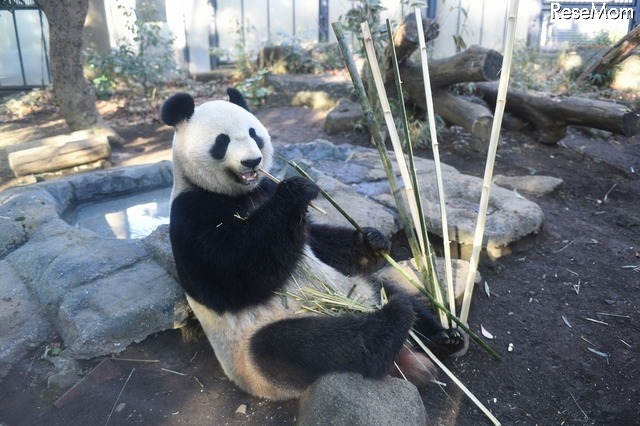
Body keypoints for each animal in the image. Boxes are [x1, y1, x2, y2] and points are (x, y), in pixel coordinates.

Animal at [160, 88, 462, 402]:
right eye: (222, 141)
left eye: (254, 134)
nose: (252, 161)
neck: (240, 194)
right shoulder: (191, 213)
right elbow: (233, 272)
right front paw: (297, 189)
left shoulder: (267, 194)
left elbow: (317, 242)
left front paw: (372, 240)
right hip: (254, 347)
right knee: (308, 345)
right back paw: (392, 322)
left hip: (359, 285)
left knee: (385, 289)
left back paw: (443, 337)